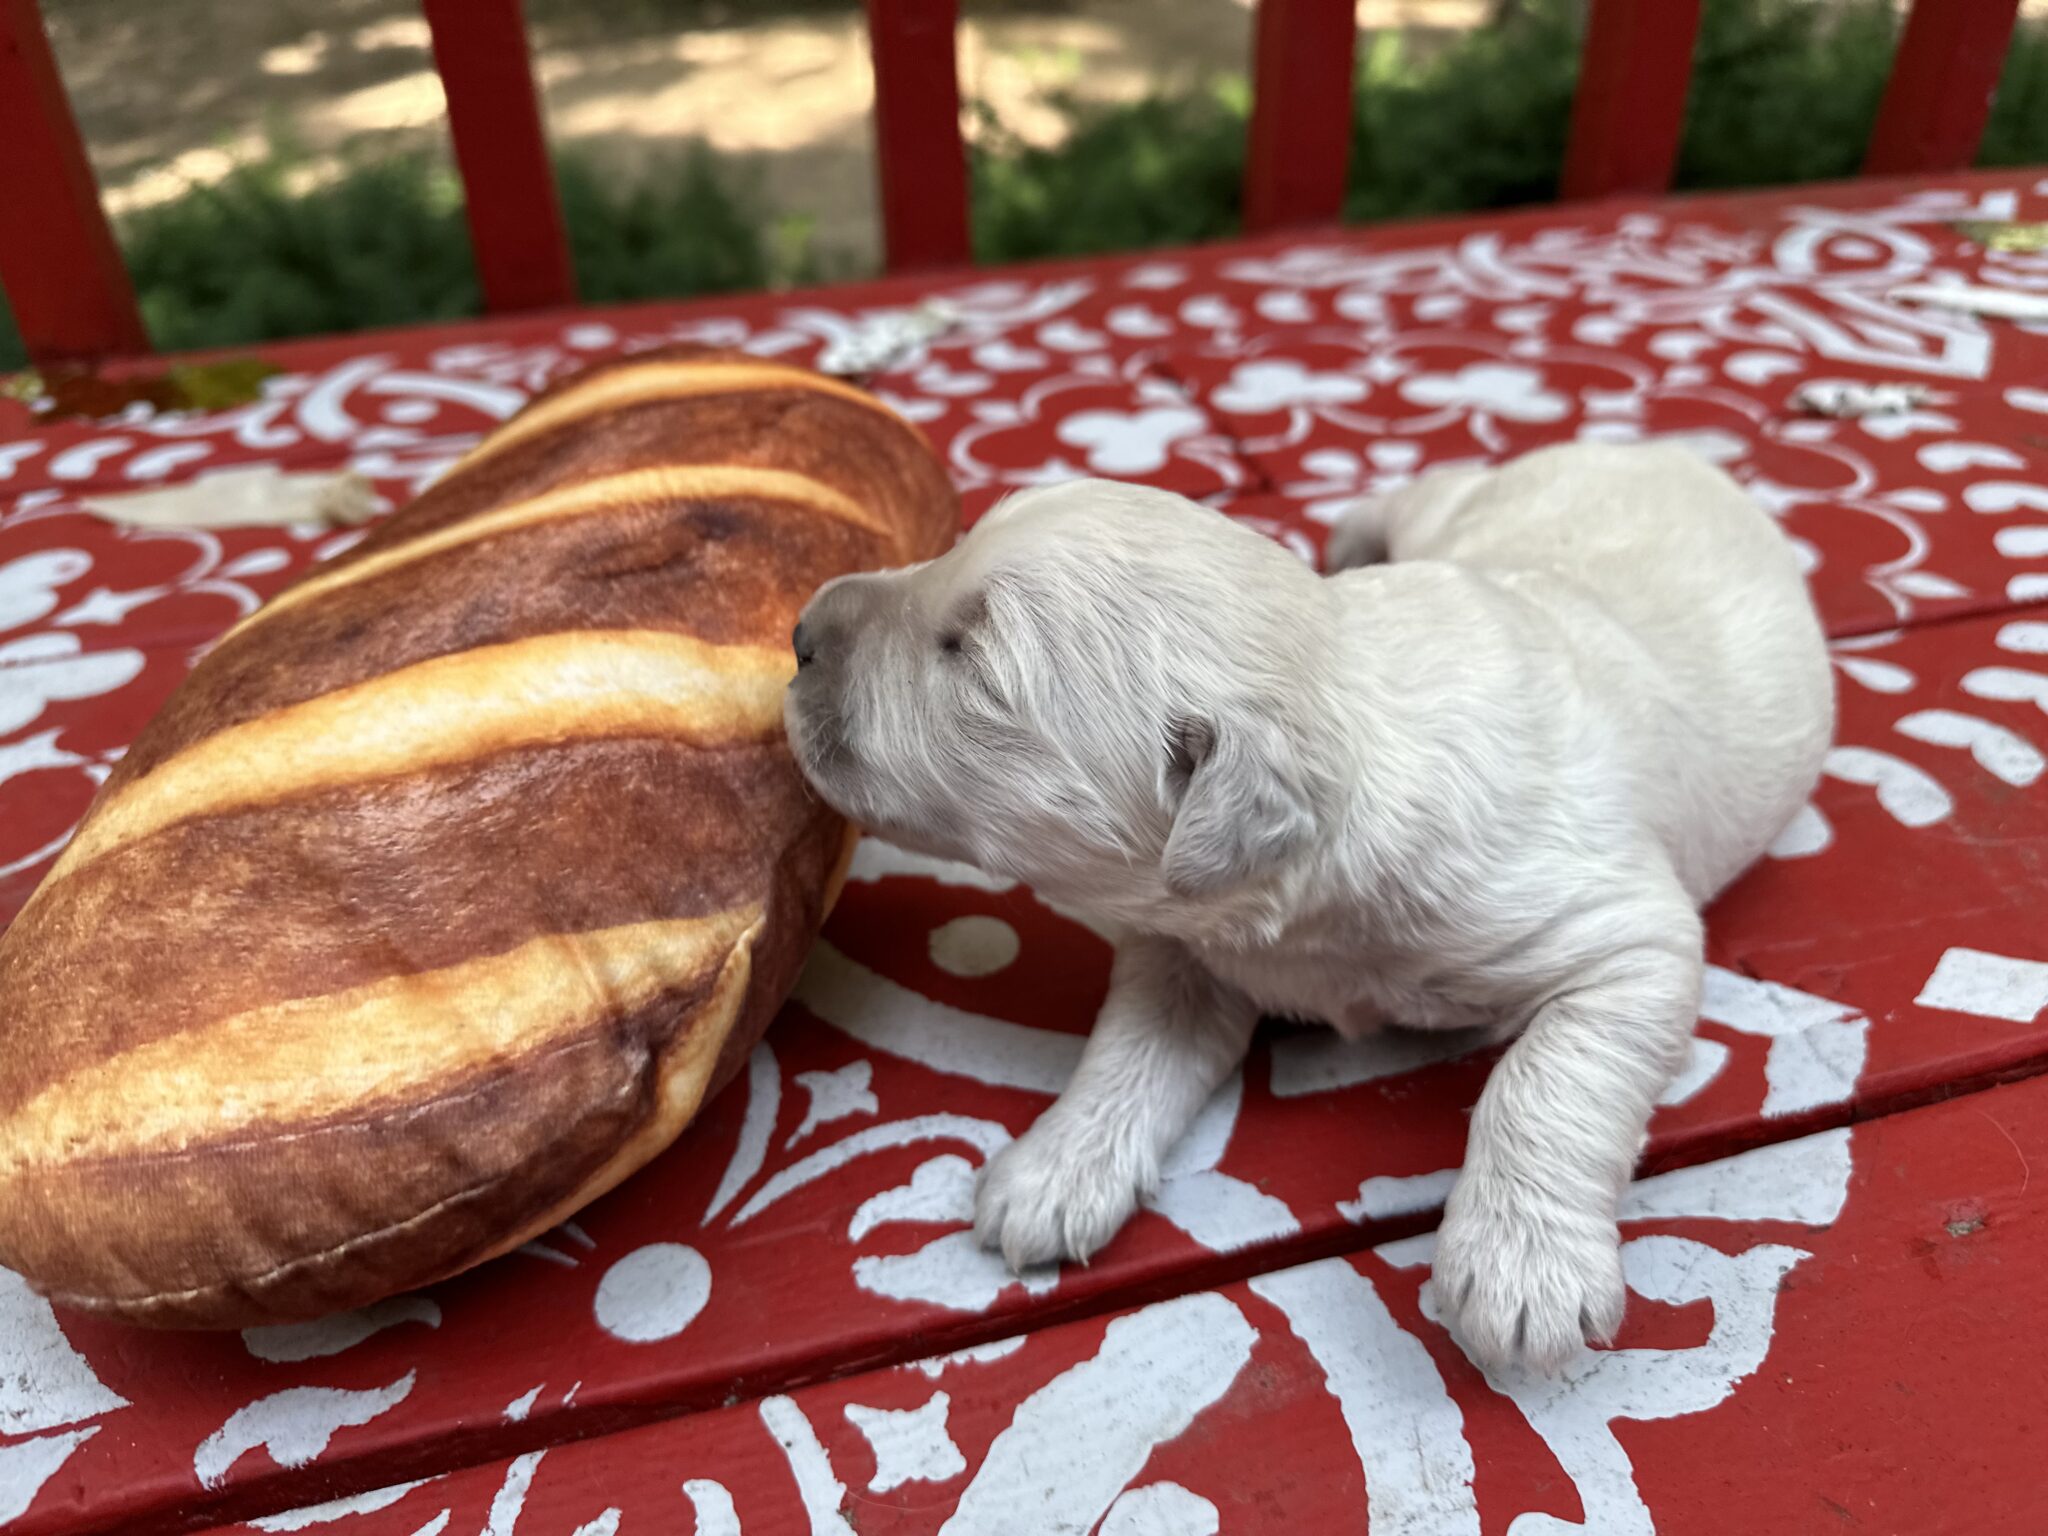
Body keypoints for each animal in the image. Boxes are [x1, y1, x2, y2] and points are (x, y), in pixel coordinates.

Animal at [783, 441, 1833, 1372]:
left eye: (969, 658)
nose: (798, 631)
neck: (1347, 716)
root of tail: (1663, 449)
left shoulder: (1629, 937)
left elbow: (1545, 1077)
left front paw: (1520, 1266)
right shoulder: (1184, 944)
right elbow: (1132, 1043)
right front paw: (1057, 1169)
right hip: (1464, 507)